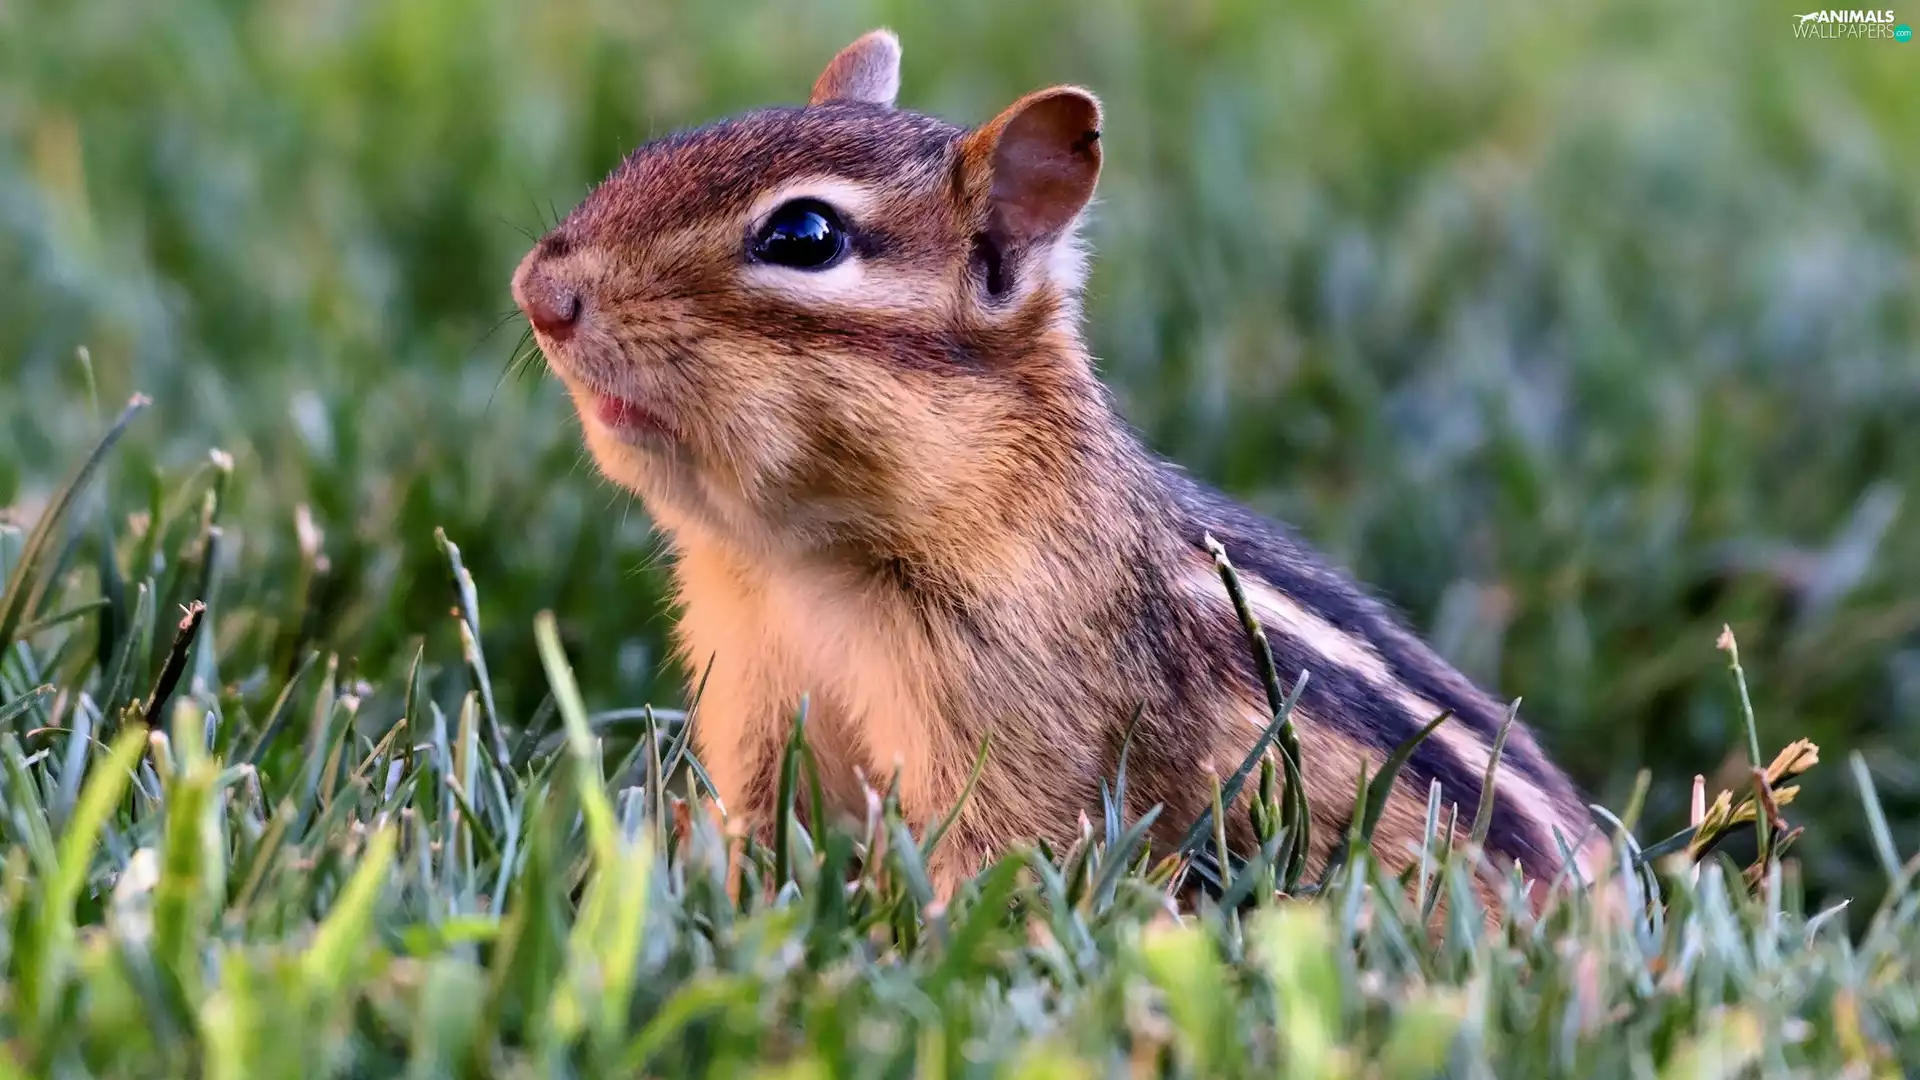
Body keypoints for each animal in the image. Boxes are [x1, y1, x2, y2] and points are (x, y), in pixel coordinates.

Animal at [511, 29, 1601, 911]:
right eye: (653, 151)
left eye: (804, 236)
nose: (539, 293)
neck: (798, 565)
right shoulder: (755, 708)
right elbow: (756, 836)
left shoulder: (1015, 736)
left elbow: (991, 866)